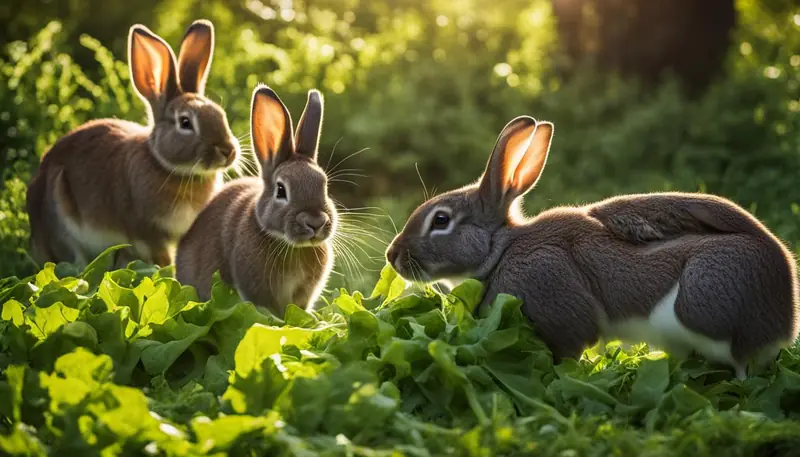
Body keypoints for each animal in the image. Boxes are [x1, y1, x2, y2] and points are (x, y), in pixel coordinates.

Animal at [26, 19, 239, 269]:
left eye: (220, 114)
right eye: (185, 123)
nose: (228, 151)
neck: (168, 167)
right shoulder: (147, 234)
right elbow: (162, 260)